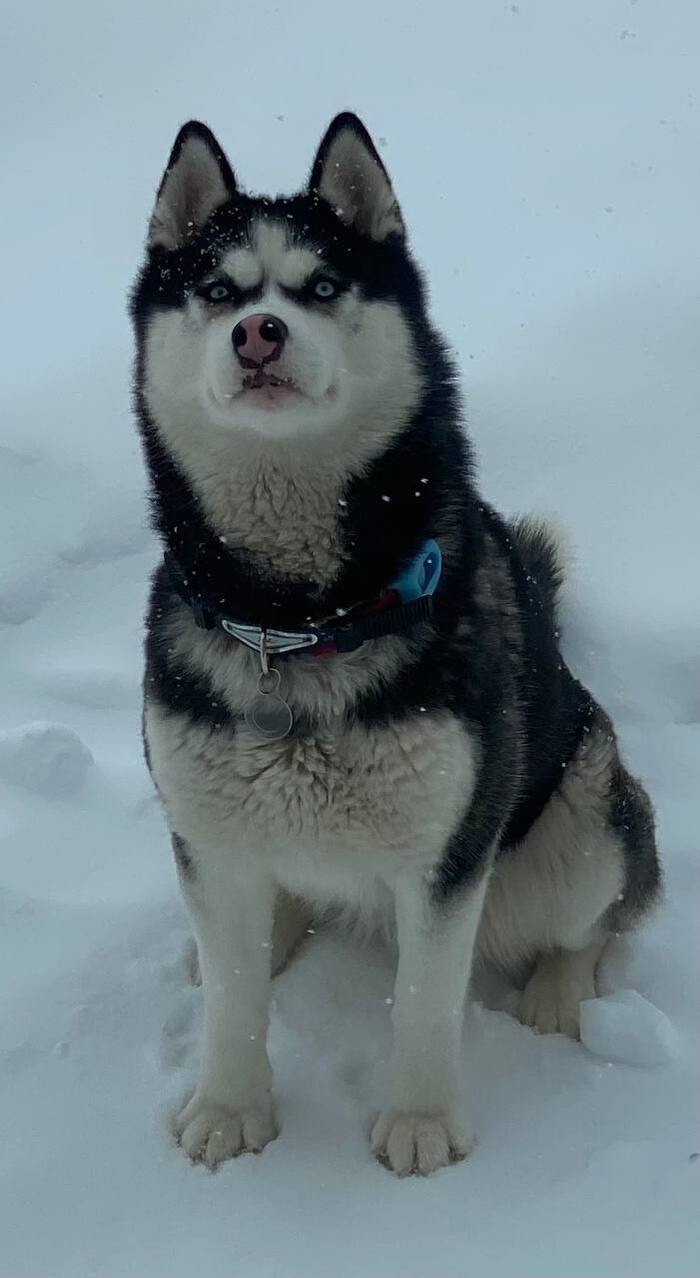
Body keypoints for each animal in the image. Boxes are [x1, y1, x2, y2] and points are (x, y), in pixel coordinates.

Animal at [131, 115, 664, 1170]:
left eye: (322, 287)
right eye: (218, 292)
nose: (259, 333)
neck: (297, 616)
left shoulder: (446, 856)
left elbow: (423, 1000)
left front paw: (420, 1125)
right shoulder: (207, 834)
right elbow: (233, 1001)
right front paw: (229, 1108)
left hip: (586, 816)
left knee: (597, 916)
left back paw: (559, 991)